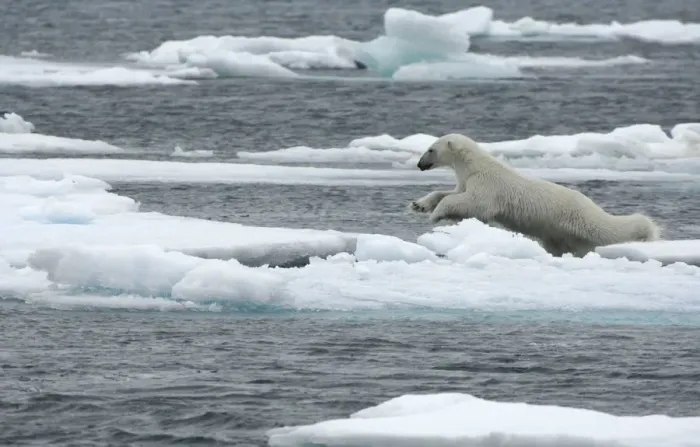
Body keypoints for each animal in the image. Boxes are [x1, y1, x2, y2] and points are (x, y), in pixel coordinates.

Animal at [409, 132, 660, 257]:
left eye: (430, 149)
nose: (420, 164)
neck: (474, 166)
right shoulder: (466, 181)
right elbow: (450, 193)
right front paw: (419, 205)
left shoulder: (487, 185)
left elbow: (472, 203)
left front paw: (436, 214)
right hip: (558, 233)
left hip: (576, 218)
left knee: (606, 230)